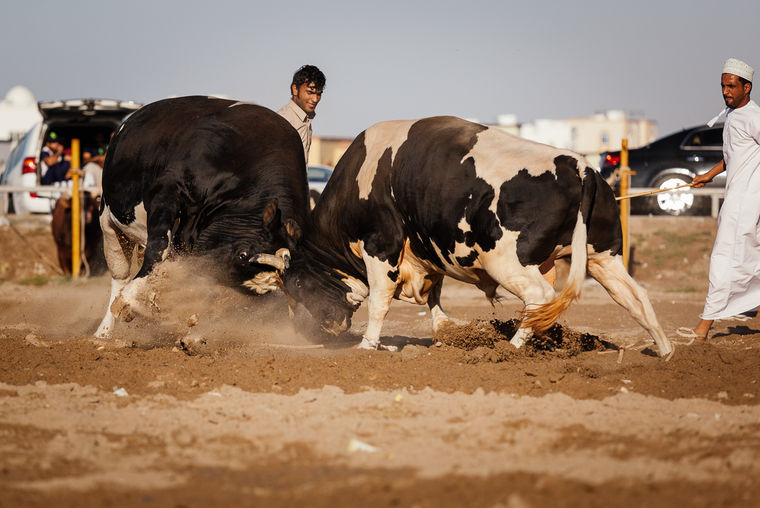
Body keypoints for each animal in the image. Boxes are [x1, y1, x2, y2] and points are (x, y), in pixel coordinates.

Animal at [94, 97, 306, 340]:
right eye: (243, 255)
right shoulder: (167, 192)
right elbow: (159, 248)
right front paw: (132, 300)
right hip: (108, 221)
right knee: (119, 274)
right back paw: (104, 330)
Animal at [282, 116, 672, 358]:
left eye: (298, 285)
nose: (326, 329)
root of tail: (580, 166)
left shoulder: (382, 246)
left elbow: (380, 300)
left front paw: (367, 346)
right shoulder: (428, 251)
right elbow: (434, 297)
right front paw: (445, 333)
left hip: (510, 262)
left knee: (540, 297)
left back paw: (511, 347)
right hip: (603, 257)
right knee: (635, 298)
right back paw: (665, 351)